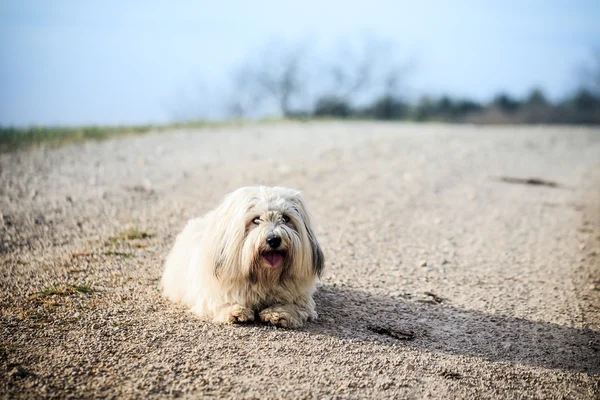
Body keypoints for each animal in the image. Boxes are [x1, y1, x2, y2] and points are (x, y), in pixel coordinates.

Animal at [161, 185, 324, 328]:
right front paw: (235, 311)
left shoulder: (299, 295)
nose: (274, 239)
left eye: (285, 218)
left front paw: (279, 313)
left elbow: (295, 305)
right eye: (256, 220)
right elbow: (220, 300)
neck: (264, 277)